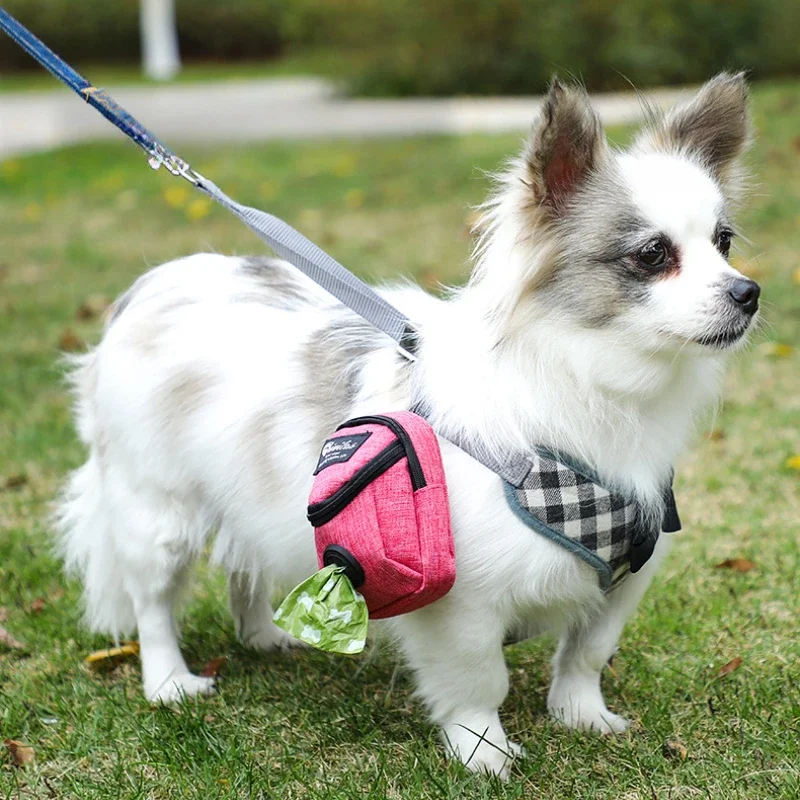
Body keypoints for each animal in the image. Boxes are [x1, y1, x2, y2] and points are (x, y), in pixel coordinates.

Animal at [54, 73, 756, 776]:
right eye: (653, 254)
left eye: (723, 242)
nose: (747, 293)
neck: (595, 385)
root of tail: (147, 288)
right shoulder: (460, 603)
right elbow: (479, 681)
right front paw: (484, 753)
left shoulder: (623, 579)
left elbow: (585, 654)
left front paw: (582, 716)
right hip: (158, 513)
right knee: (153, 604)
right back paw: (170, 682)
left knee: (245, 565)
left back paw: (263, 637)